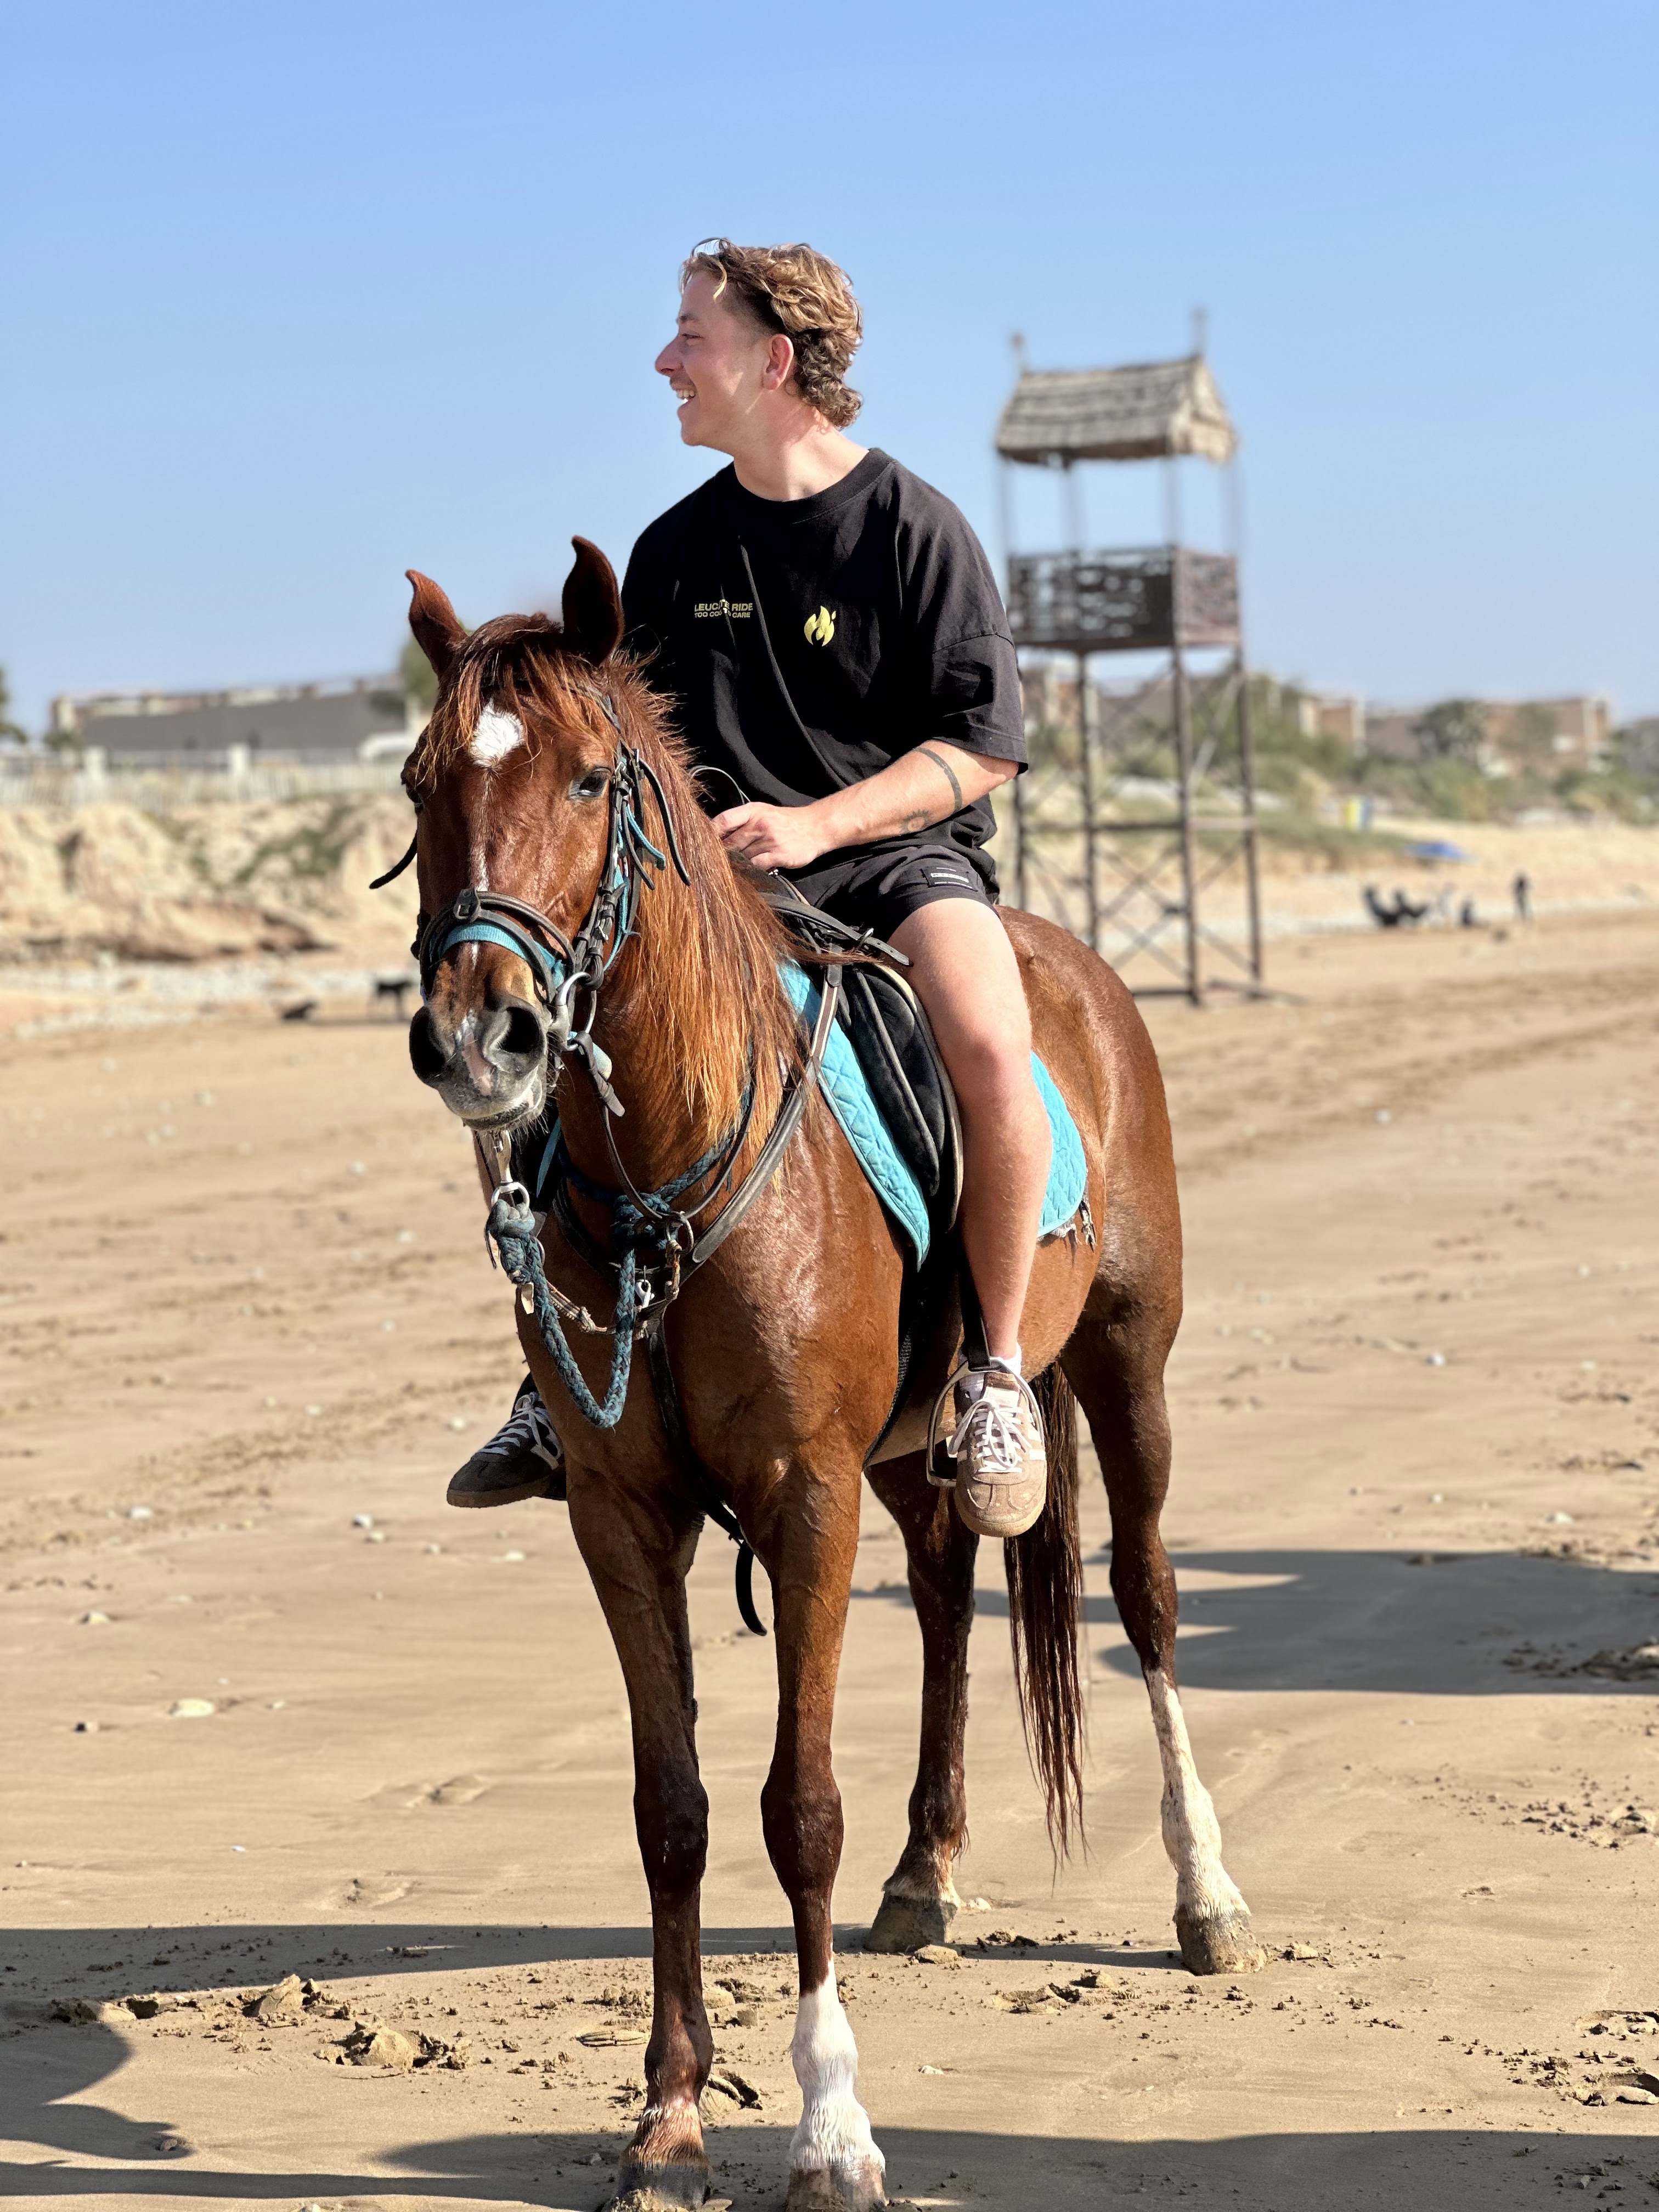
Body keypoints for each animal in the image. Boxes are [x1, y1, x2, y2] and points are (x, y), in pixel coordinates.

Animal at [397, 540, 1262, 2212]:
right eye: (418, 783)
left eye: (593, 777)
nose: (482, 1037)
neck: (665, 1173)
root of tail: (1080, 965)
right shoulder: (622, 1515)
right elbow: (672, 1811)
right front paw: (669, 2122)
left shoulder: (803, 1497)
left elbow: (796, 1807)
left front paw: (833, 2130)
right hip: (913, 1454)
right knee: (943, 1592)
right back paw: (927, 1873)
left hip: (1128, 1360)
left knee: (1147, 1603)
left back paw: (1207, 1895)